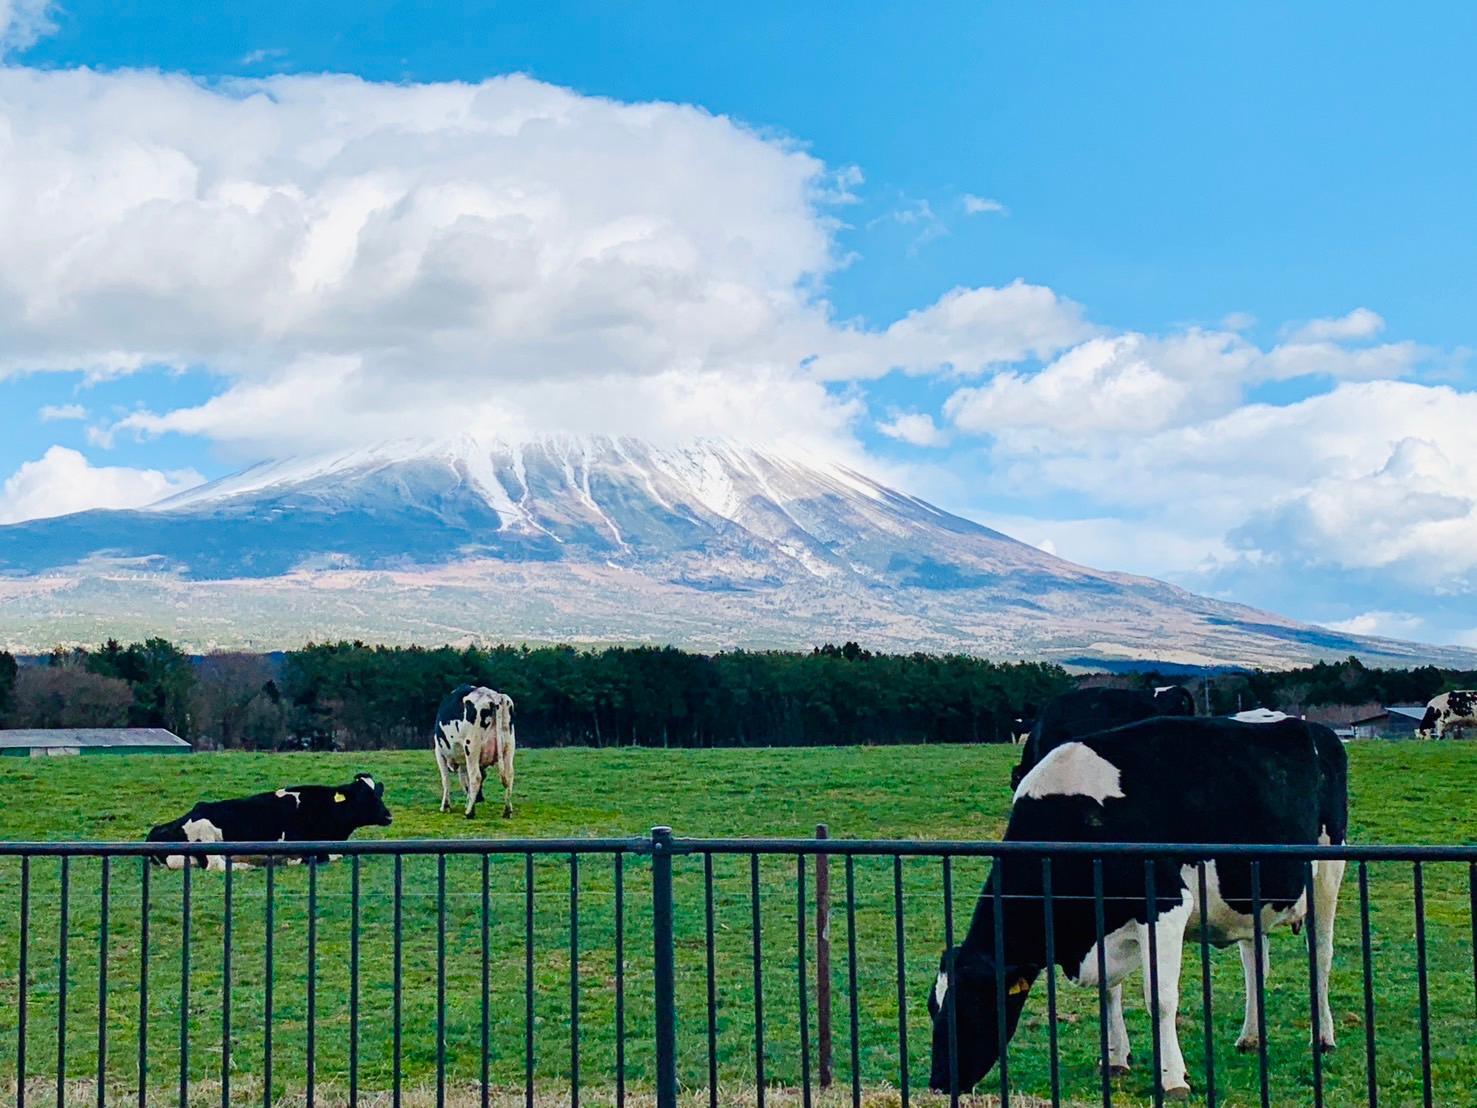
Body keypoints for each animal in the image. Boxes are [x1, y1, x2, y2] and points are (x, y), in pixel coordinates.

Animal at [145, 774, 392, 874]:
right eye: (364, 796)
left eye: (378, 793)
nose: (389, 816)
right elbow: (325, 857)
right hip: (206, 836)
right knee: (216, 866)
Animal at [431, 682, 519, 821]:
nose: (480, 799)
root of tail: (494, 696)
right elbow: (468, 778)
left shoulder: (439, 752)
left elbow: (446, 780)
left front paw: (445, 806)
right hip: (509, 746)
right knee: (509, 775)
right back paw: (507, 811)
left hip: (472, 747)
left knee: (475, 777)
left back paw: (469, 812)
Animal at [933, 720, 1352, 1105]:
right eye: (932, 1006)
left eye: (971, 1007)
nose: (938, 1083)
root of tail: (1310, 726)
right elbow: (1108, 990)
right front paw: (1115, 1059)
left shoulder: (1167, 906)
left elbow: (1160, 999)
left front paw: (1173, 1079)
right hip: (1253, 898)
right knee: (1255, 961)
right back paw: (1250, 1037)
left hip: (1329, 871)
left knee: (1321, 954)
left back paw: (1323, 1037)